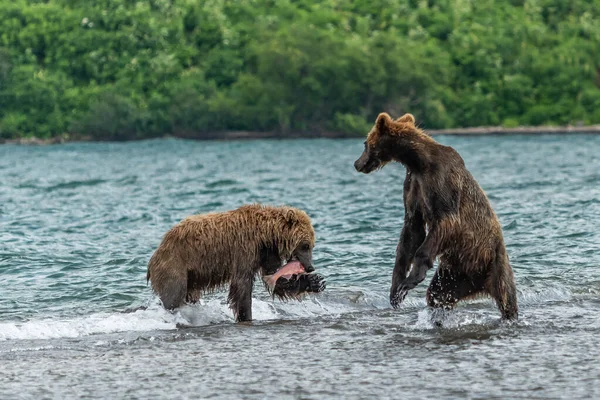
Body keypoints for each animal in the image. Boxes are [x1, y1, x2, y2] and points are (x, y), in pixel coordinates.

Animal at [147, 205, 326, 324]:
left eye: (312, 245)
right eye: (305, 245)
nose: (310, 267)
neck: (267, 236)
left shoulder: (267, 254)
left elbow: (275, 279)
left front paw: (315, 281)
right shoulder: (245, 249)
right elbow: (242, 286)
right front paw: (246, 315)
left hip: (192, 276)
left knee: (190, 296)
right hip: (175, 265)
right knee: (173, 295)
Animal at [354, 112, 516, 322]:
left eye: (365, 143)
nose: (357, 163)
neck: (418, 162)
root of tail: (480, 281)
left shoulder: (442, 181)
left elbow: (445, 222)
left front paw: (410, 280)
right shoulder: (413, 186)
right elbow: (411, 232)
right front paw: (396, 288)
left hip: (495, 264)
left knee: (507, 298)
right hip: (455, 275)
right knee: (438, 294)